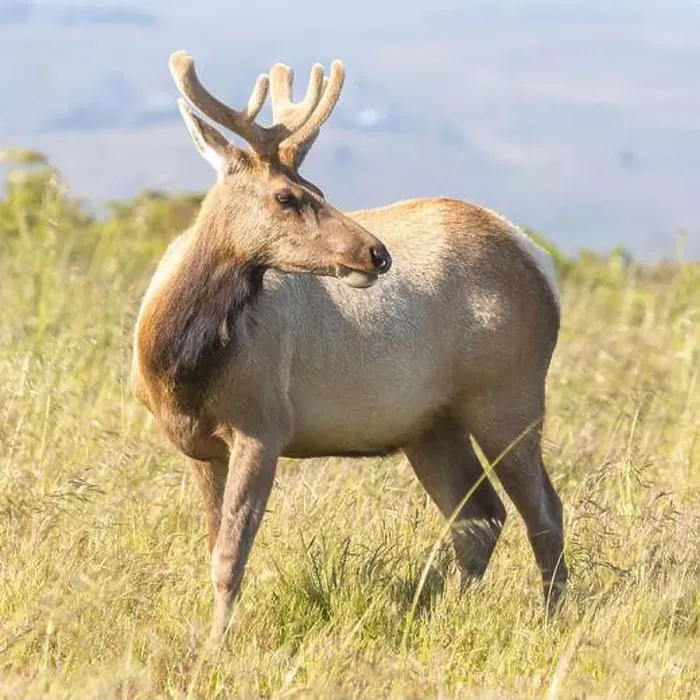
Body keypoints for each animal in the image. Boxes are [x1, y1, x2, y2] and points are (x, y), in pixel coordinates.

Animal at [131, 50, 568, 642]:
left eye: (319, 189)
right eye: (288, 195)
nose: (376, 253)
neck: (175, 364)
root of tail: (539, 260)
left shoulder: (264, 424)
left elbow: (229, 555)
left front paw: (217, 643)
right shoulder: (198, 446)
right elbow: (213, 546)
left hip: (507, 393)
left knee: (543, 510)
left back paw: (551, 619)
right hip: (430, 425)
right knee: (479, 516)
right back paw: (440, 615)